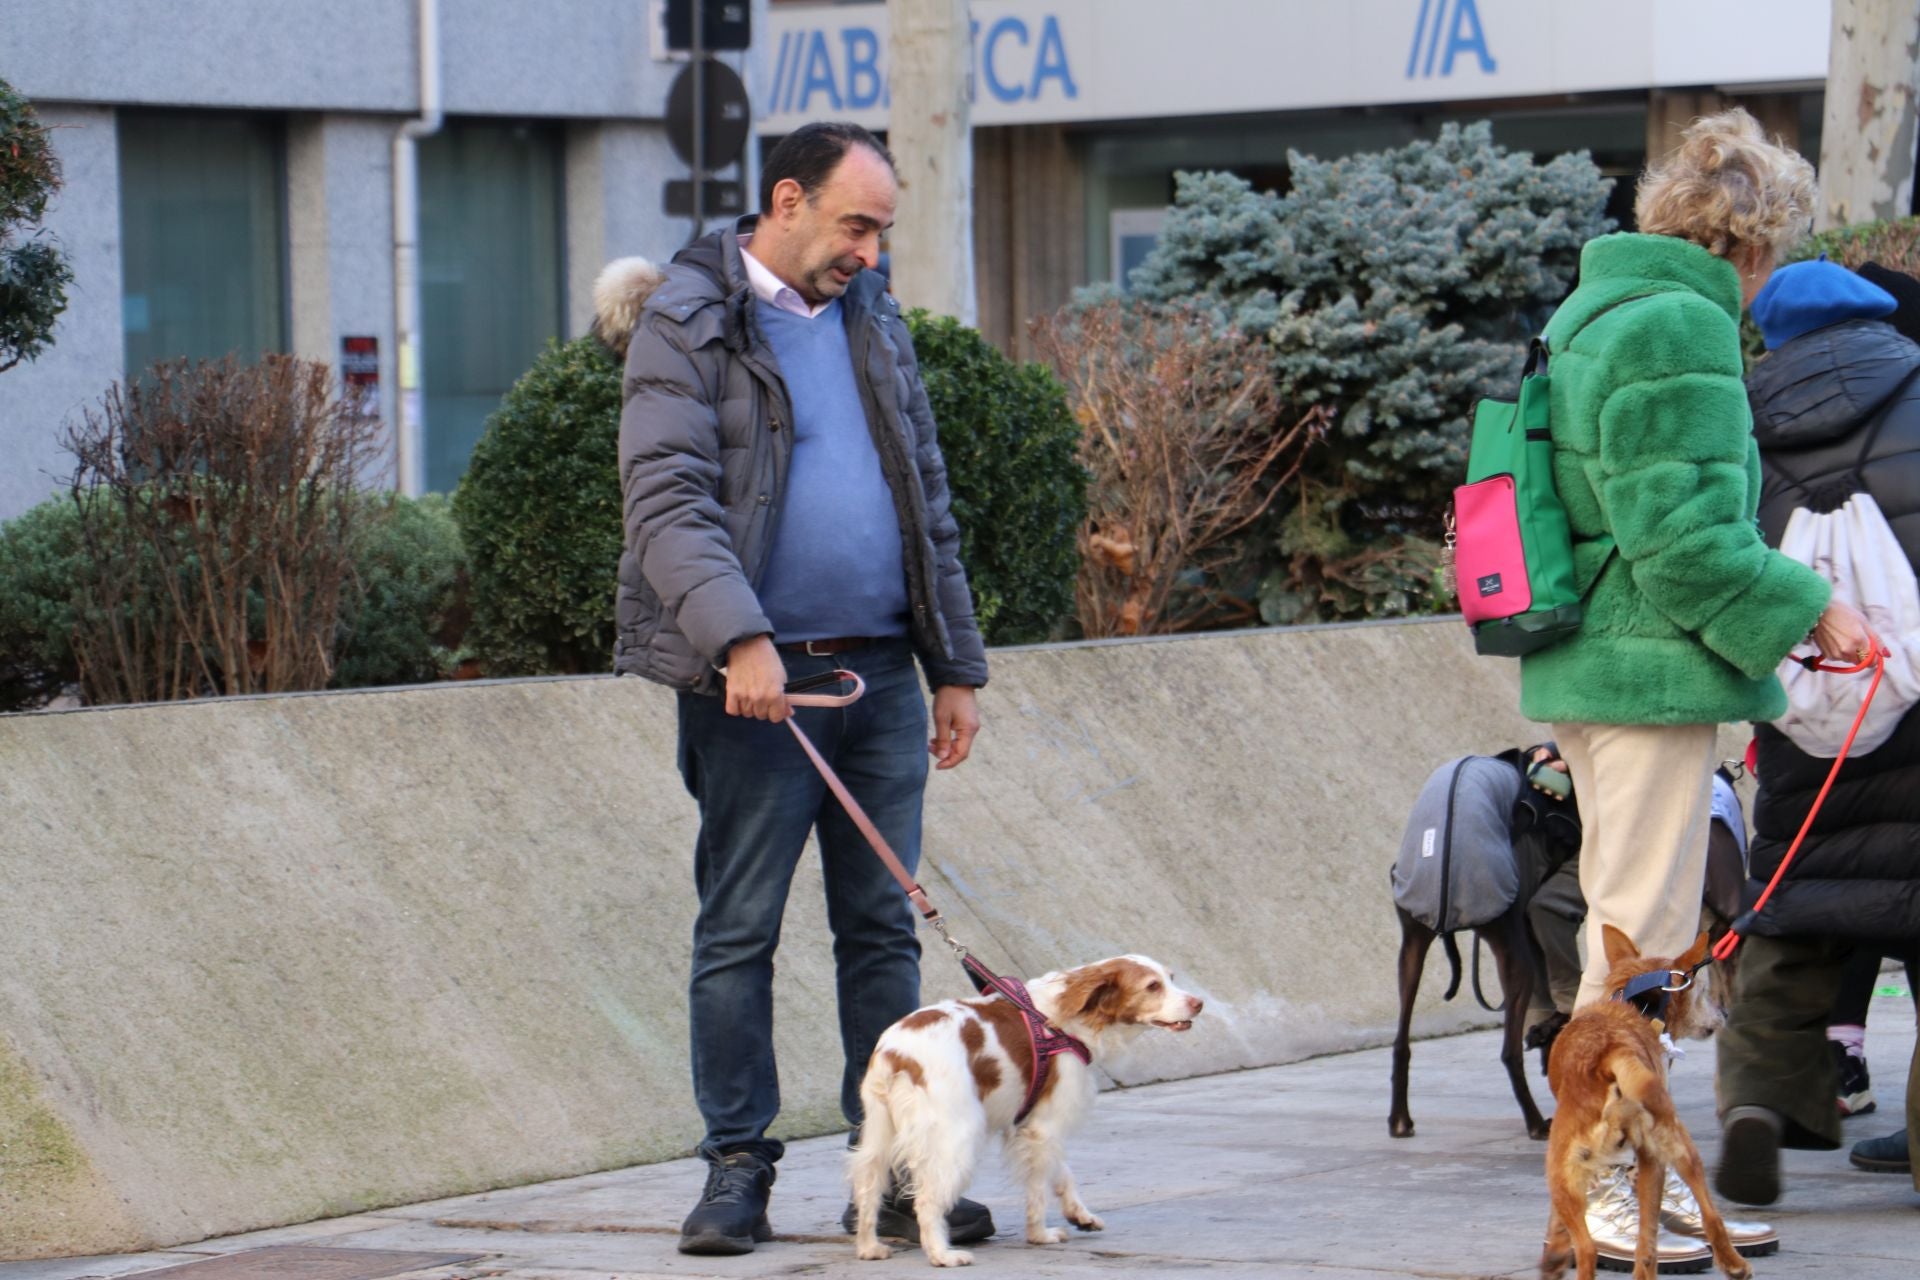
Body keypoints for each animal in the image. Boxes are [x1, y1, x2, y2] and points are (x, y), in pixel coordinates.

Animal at [1536, 932, 1751, 1280]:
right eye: (1703, 992)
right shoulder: (1653, 1159)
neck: (1631, 1007)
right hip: (1679, 1146)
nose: (1725, 1013)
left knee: (1587, 1248)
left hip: (1561, 1172)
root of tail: (1609, 1055)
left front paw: (1554, 1250)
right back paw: (1734, 1263)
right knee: (1706, 1215)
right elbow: (1649, 1239)